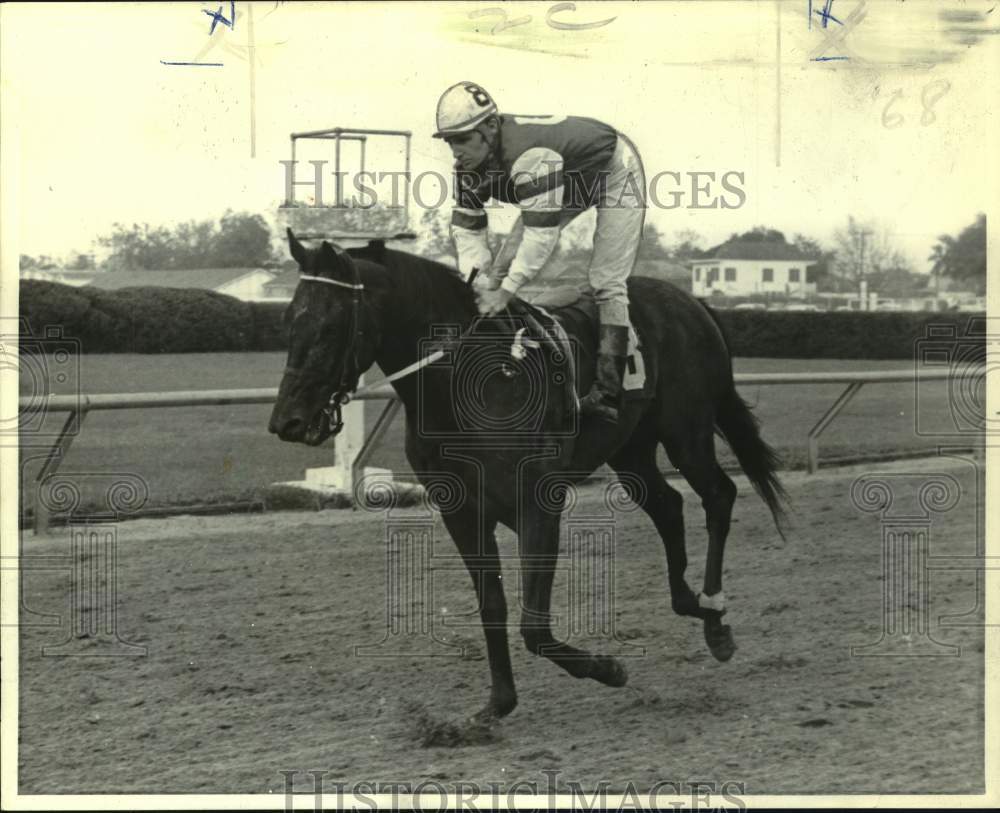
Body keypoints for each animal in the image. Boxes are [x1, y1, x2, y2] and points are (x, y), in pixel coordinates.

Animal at [270, 227, 784, 716]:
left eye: (331, 325)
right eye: (289, 319)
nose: (286, 421)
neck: (471, 385)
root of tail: (690, 301)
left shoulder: (538, 504)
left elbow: (534, 625)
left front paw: (608, 668)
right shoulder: (462, 512)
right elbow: (492, 604)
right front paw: (499, 701)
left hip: (686, 431)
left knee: (718, 495)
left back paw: (715, 616)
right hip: (631, 448)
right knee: (669, 506)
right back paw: (689, 602)